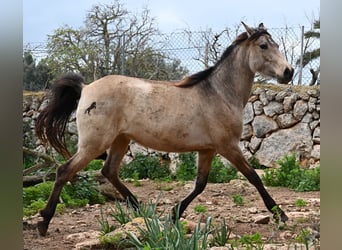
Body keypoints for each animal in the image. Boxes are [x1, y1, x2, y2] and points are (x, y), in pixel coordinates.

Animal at [34, 22, 294, 236]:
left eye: (275, 44)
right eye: (263, 46)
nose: (288, 72)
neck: (219, 93)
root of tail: (86, 87)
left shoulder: (208, 149)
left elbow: (200, 184)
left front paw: (173, 214)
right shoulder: (228, 147)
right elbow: (254, 177)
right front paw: (280, 214)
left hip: (120, 140)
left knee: (109, 171)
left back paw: (141, 210)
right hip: (94, 143)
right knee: (64, 171)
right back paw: (44, 222)